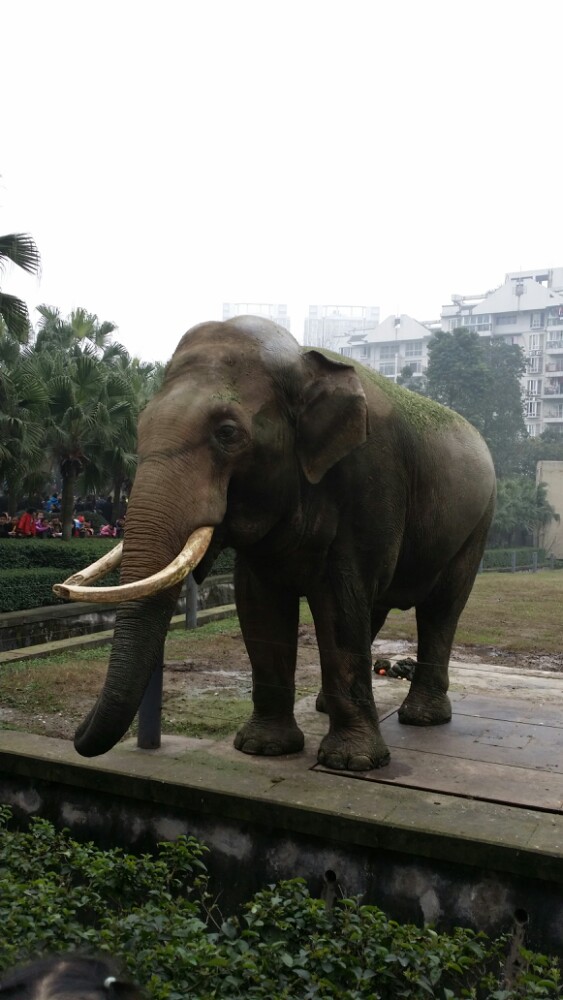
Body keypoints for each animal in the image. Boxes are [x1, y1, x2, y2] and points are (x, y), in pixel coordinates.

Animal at [55, 316, 496, 768]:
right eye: (138, 426)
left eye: (227, 433)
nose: (75, 734)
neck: (301, 360)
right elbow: (260, 603)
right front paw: (263, 748)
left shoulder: (371, 478)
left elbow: (340, 601)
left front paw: (351, 762)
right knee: (374, 608)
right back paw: (325, 706)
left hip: (479, 523)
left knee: (440, 608)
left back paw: (422, 718)